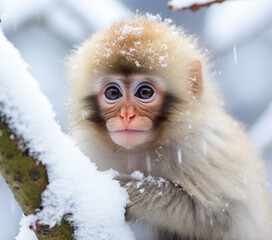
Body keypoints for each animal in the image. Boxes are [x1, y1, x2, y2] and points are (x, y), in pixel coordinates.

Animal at [66, 15, 272, 240]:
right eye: (113, 93)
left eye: (145, 92)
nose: (127, 116)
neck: (139, 152)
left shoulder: (205, 148)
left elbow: (216, 215)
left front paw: (122, 189)